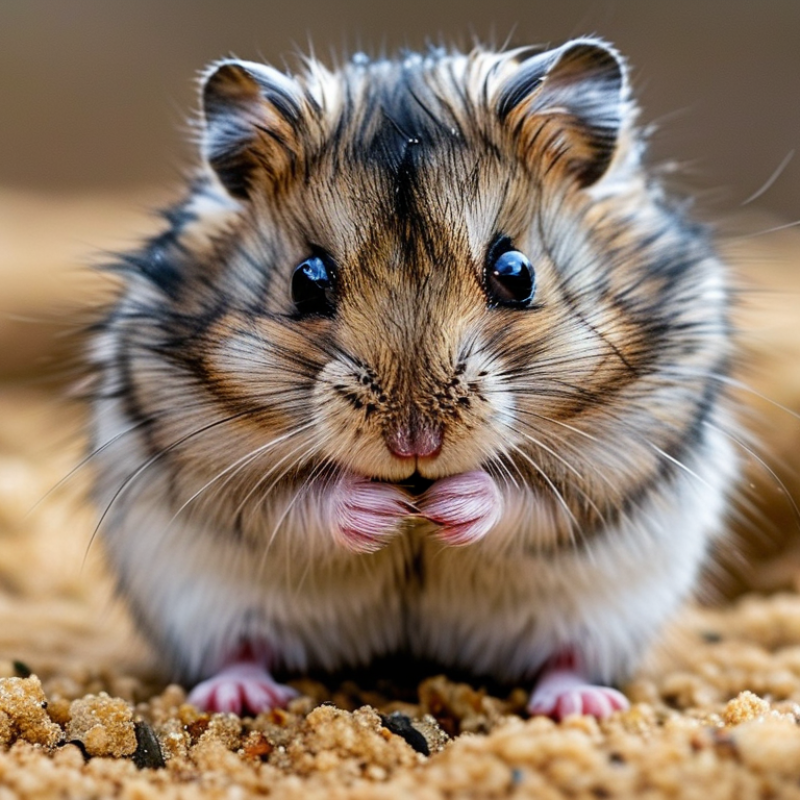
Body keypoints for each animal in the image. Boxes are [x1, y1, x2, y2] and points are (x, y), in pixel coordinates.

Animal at [88, 37, 737, 720]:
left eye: (516, 272)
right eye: (306, 279)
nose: (414, 447)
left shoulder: (620, 457)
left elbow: (532, 494)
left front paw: (445, 506)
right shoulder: (208, 466)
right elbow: (289, 498)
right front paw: (388, 509)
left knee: (568, 657)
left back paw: (583, 704)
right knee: (241, 646)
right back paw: (239, 695)